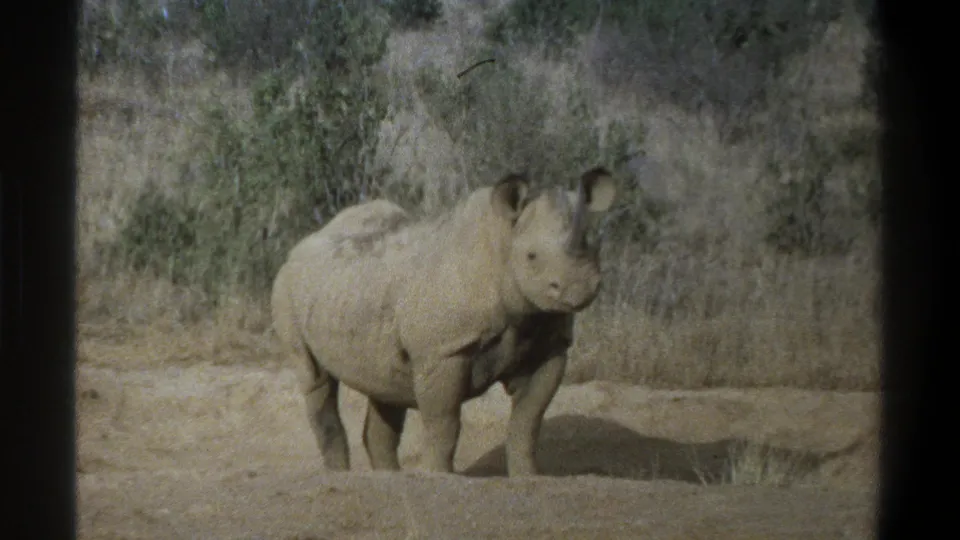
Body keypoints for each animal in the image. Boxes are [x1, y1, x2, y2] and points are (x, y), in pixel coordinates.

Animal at [270, 167, 617, 476]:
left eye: (594, 247)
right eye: (531, 257)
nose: (579, 287)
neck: (503, 244)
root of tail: (301, 244)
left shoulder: (549, 343)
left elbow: (528, 421)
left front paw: (528, 477)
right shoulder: (443, 350)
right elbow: (445, 422)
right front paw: (439, 476)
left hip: (353, 290)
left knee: (384, 387)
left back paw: (389, 477)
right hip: (287, 288)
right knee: (315, 378)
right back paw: (340, 475)